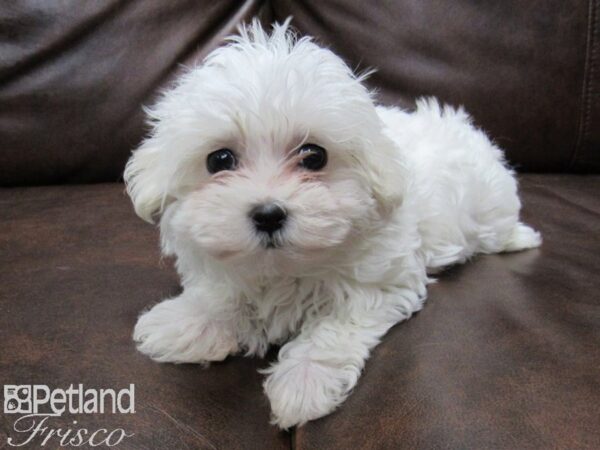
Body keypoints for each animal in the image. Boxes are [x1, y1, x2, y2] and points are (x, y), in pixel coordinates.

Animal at [124, 20, 540, 428]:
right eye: (219, 160)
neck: (283, 270)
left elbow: (337, 327)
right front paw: (187, 322)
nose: (268, 214)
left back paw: (520, 237)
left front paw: (303, 381)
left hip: (490, 208)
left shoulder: (380, 281)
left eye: (314, 157)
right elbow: (221, 293)